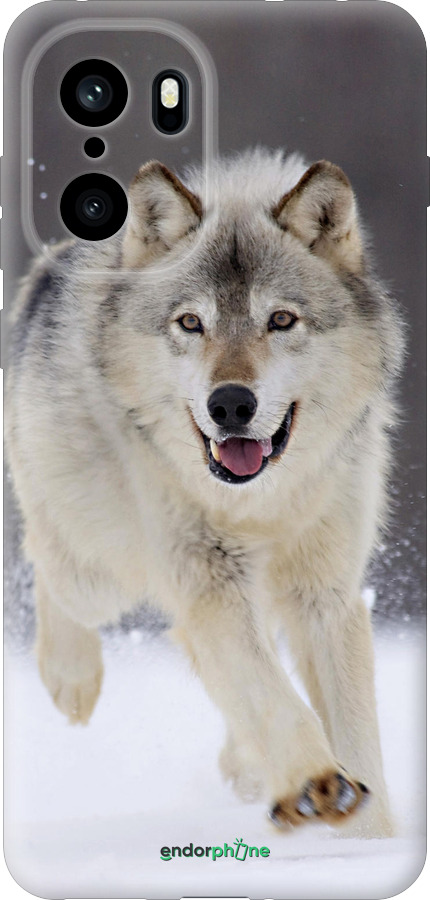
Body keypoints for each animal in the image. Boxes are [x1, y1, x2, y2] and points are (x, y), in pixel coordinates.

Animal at [5, 148, 403, 837]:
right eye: (191, 322)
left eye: (281, 320)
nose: (231, 404)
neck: (261, 503)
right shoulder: (209, 580)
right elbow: (273, 696)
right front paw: (315, 783)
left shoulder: (325, 594)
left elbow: (352, 732)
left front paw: (368, 835)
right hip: (99, 572)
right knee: (49, 565)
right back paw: (71, 680)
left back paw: (246, 766)